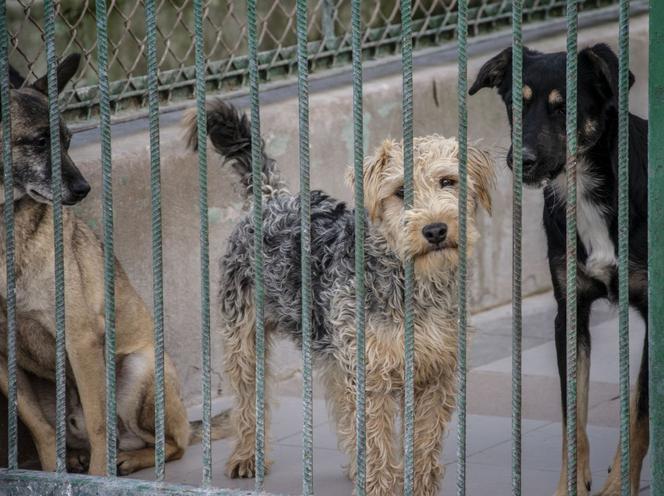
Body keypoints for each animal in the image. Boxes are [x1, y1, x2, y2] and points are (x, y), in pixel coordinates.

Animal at [472, 44, 648, 494]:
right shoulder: (569, 313)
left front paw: (619, 487)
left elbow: (640, 415)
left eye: (564, 107)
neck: (585, 190)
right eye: (517, 104)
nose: (521, 161)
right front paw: (571, 485)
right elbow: (574, 417)